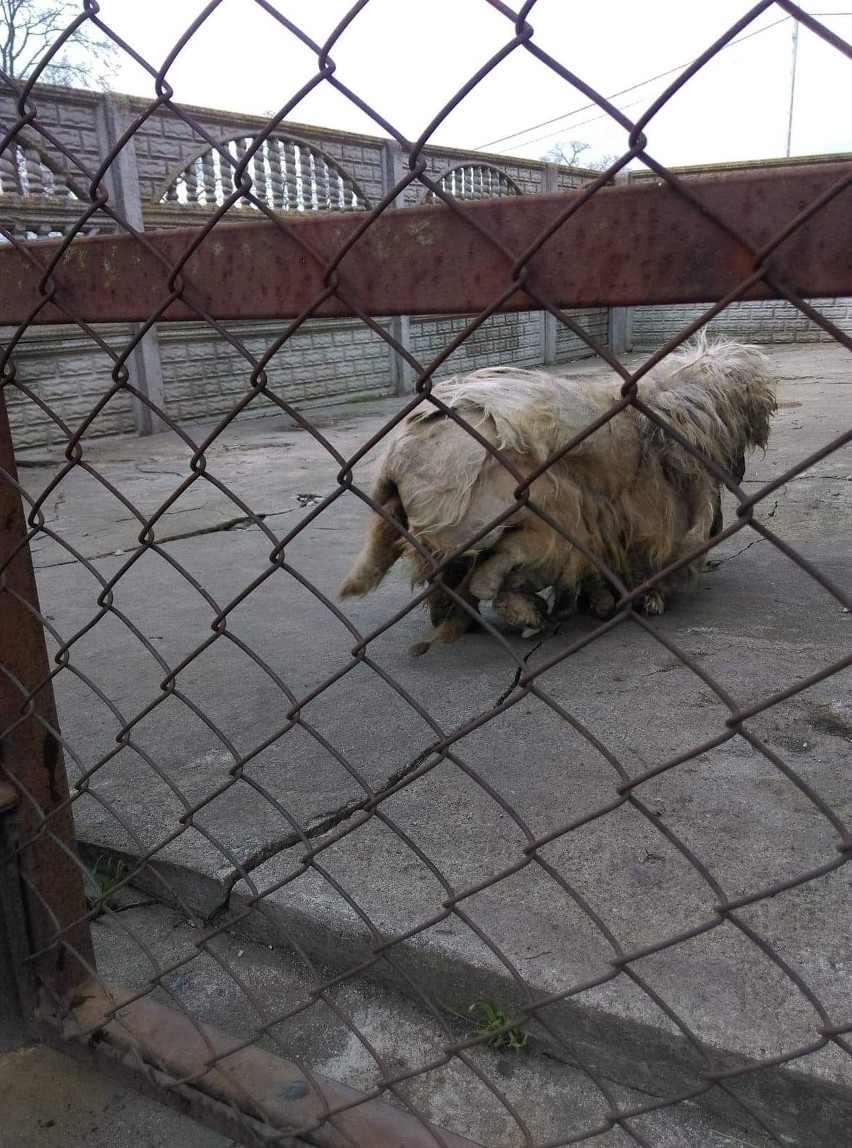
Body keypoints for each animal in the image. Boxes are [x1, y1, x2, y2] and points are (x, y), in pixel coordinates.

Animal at [337, 335, 776, 652]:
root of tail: (398, 458)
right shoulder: (653, 517)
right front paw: (641, 598)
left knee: (465, 583)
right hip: (524, 516)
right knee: (487, 578)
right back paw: (531, 614)